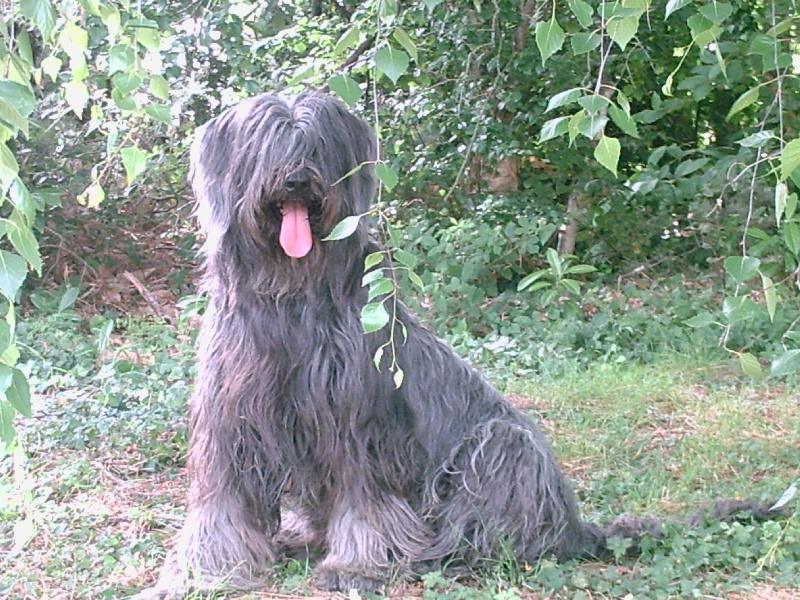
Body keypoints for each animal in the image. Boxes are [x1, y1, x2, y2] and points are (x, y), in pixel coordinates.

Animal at [133, 91, 764, 596]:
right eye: (267, 143)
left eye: (315, 145)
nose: (296, 181)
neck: (290, 293)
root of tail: (575, 527)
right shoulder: (231, 418)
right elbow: (221, 509)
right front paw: (200, 572)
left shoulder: (359, 425)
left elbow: (366, 505)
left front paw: (356, 567)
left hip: (501, 445)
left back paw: (438, 555)